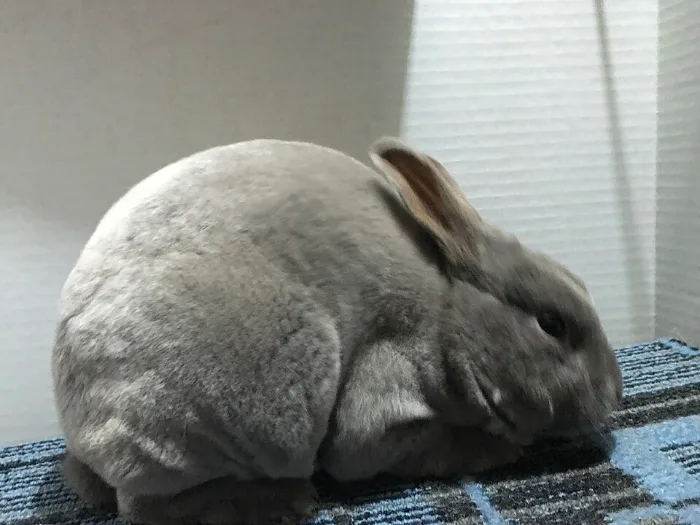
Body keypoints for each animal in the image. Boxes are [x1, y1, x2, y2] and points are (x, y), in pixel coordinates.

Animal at [52, 137, 623, 525]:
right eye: (552, 324)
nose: (616, 394)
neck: (447, 317)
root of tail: (79, 428)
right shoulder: (384, 395)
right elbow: (403, 445)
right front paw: (498, 450)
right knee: (145, 505)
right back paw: (286, 500)